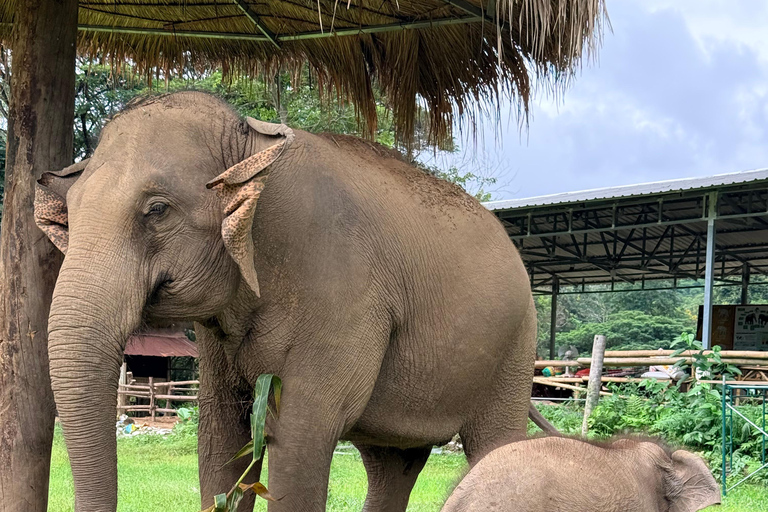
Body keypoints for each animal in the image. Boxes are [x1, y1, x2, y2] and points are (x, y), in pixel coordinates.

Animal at [35, 92, 540, 512]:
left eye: (157, 210)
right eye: (69, 215)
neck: (250, 145)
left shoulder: (342, 293)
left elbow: (301, 435)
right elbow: (220, 436)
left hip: (515, 347)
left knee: (493, 442)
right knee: (392, 463)